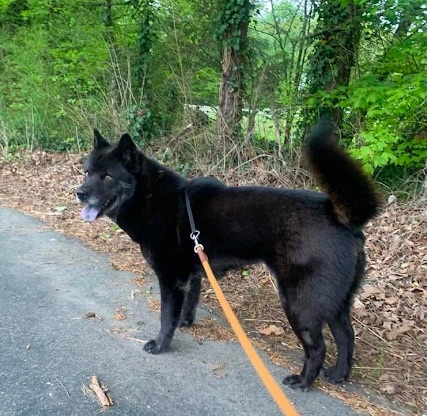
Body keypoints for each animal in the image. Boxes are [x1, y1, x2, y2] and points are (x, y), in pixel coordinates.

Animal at [77, 123, 382, 390]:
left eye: (107, 176)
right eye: (87, 171)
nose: (79, 193)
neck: (153, 198)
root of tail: (339, 217)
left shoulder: (171, 279)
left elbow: (166, 317)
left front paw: (161, 344)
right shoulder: (193, 274)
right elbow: (188, 305)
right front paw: (185, 323)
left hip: (300, 302)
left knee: (318, 347)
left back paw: (303, 381)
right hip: (334, 301)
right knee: (346, 336)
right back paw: (339, 374)